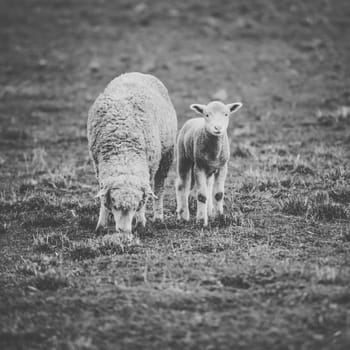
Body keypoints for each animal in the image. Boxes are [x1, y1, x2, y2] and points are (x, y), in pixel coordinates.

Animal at [87, 72, 178, 235]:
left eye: (135, 206)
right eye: (115, 204)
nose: (124, 231)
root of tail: (138, 73)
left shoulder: (150, 167)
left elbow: (146, 197)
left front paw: (141, 222)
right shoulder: (97, 165)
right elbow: (103, 198)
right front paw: (102, 224)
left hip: (167, 155)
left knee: (159, 187)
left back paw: (158, 217)